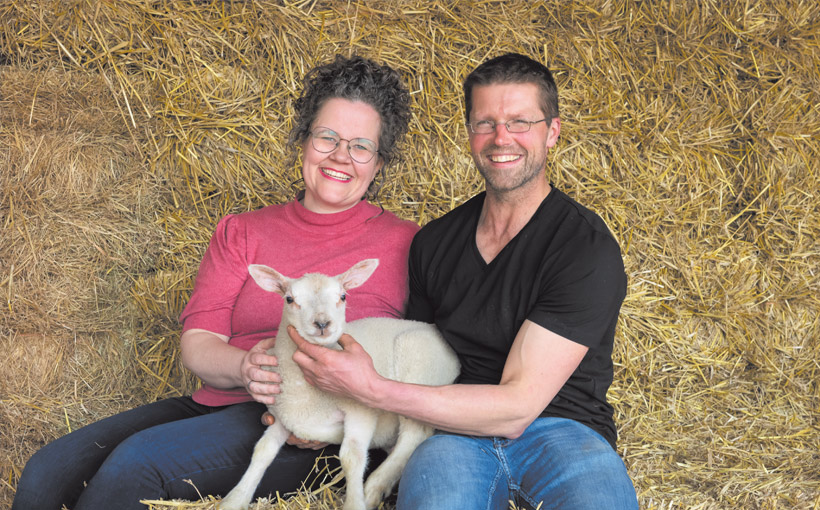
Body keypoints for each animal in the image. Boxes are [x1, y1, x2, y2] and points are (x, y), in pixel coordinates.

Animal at [218, 258, 462, 510]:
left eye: (343, 296)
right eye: (289, 299)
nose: (322, 323)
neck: (305, 394)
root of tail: (434, 331)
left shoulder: (362, 410)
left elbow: (351, 456)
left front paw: (355, 502)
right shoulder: (283, 417)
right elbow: (262, 450)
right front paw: (235, 499)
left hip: (418, 367)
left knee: (414, 435)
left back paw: (374, 488)